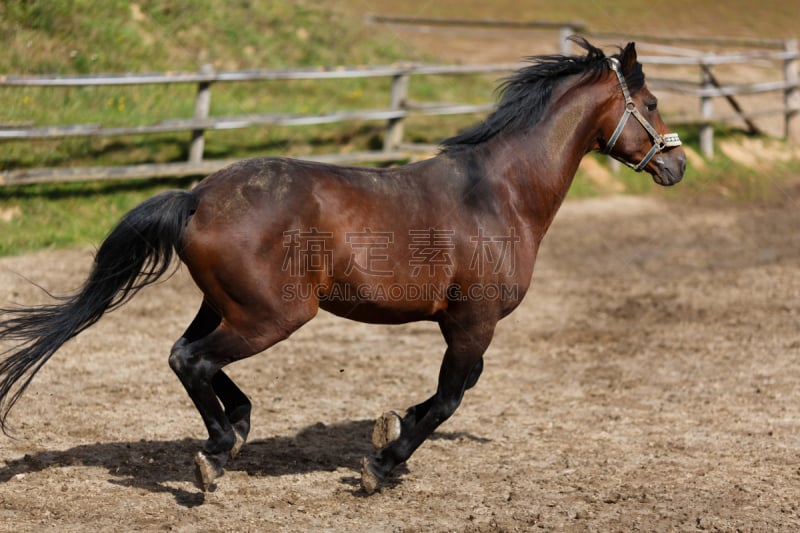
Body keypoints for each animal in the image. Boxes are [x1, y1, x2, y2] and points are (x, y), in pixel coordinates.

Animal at [1, 38, 688, 494]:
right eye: (652, 102)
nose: (676, 165)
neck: (498, 193)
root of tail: (197, 197)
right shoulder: (473, 323)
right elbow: (450, 398)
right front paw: (383, 463)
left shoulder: (465, 325)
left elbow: (450, 394)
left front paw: (389, 431)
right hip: (272, 316)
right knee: (193, 360)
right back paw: (217, 452)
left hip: (228, 306)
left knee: (184, 356)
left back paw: (235, 432)